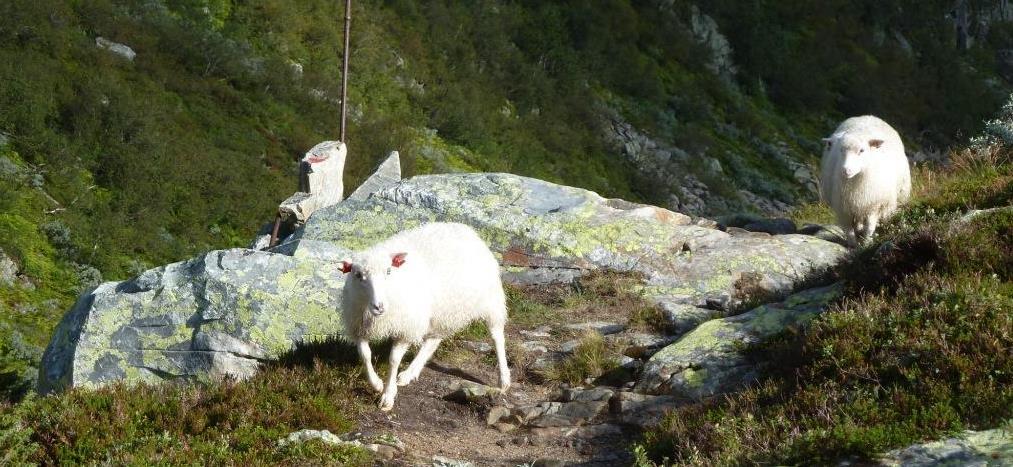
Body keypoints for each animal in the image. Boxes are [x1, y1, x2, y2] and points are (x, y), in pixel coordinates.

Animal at [338, 220, 510, 407]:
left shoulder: (406, 327)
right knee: (433, 341)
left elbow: (393, 360)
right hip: (442, 312)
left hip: (490, 301)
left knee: (497, 337)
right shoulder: (358, 326)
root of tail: (464, 228)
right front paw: (376, 384)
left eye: (389, 271)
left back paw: (504, 379)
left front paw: (388, 395)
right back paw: (409, 373)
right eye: (358, 275)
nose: (379, 306)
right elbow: (365, 355)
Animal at [818, 115, 915, 244]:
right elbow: (849, 231)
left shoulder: (873, 204)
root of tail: (867, 116)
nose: (846, 170)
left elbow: (869, 227)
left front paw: (866, 243)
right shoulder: (843, 208)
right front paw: (853, 245)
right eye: (841, 150)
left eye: (862, 150)